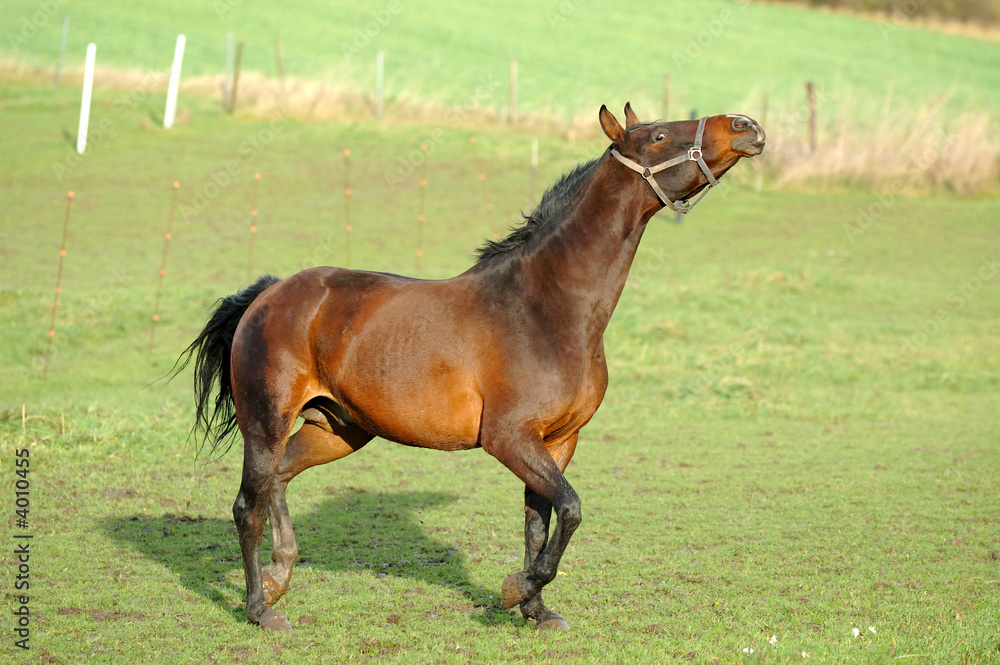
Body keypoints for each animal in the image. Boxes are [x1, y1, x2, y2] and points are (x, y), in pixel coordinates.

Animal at [176, 103, 765, 632]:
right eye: (660, 135)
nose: (746, 126)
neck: (547, 307)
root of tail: (269, 293)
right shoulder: (509, 438)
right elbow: (572, 510)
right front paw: (514, 591)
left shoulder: (557, 442)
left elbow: (541, 523)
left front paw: (537, 611)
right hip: (267, 422)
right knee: (247, 505)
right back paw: (261, 609)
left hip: (336, 429)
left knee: (278, 481)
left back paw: (280, 576)